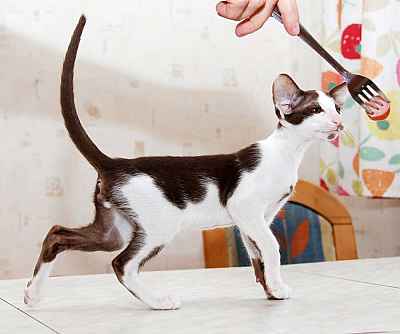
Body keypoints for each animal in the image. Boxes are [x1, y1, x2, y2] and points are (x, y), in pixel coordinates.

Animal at [23, 16, 346, 310]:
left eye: (337, 108)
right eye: (315, 110)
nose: (339, 123)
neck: (287, 151)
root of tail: (115, 163)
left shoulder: (255, 219)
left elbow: (257, 256)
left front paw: (271, 291)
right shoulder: (244, 207)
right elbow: (272, 247)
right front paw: (278, 287)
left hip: (113, 230)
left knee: (57, 234)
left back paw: (33, 293)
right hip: (159, 225)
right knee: (121, 263)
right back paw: (158, 301)